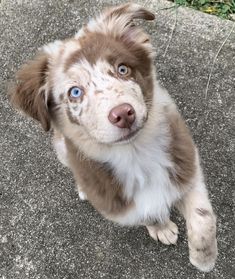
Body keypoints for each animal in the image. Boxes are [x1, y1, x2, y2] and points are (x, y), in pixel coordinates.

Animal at [10, 2, 218, 274]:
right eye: (75, 92)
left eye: (122, 69)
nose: (123, 114)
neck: (136, 153)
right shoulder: (123, 205)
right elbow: (148, 212)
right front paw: (162, 227)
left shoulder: (186, 165)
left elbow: (204, 217)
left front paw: (204, 259)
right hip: (62, 148)